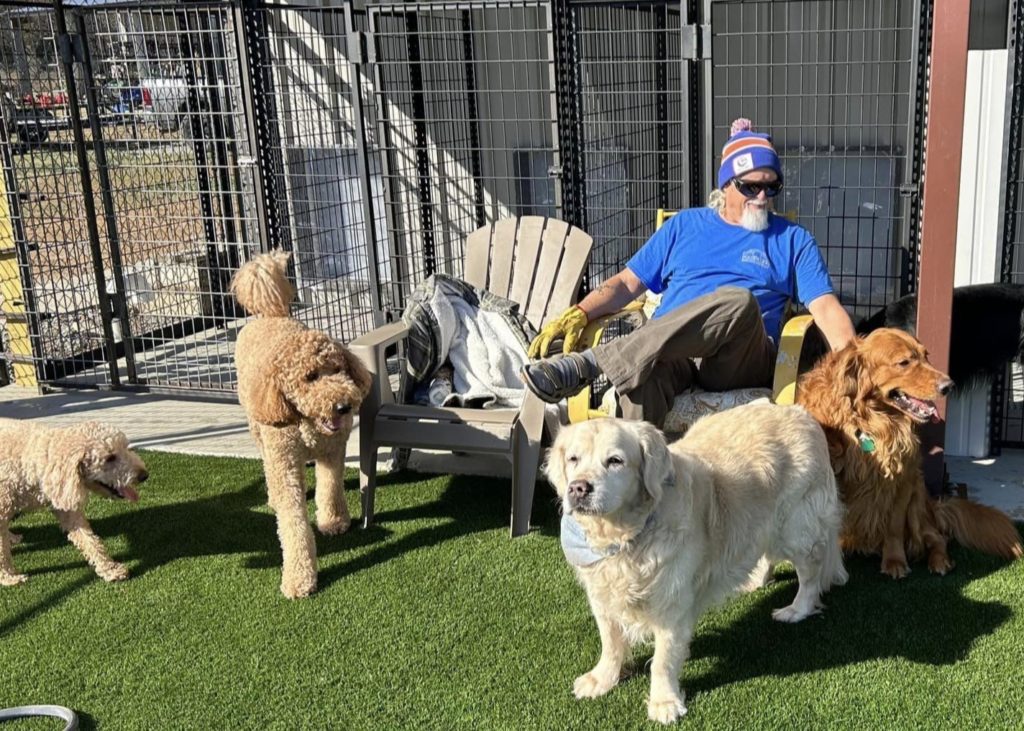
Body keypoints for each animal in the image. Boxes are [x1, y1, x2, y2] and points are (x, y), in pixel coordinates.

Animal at [0, 417, 149, 585]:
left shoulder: (65, 502)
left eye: (126, 447)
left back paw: (11, 537)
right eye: (110, 458)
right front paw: (9, 577)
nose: (144, 475)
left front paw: (110, 569)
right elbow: (1, 550)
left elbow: (89, 540)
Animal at [232, 247, 372, 593]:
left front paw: (334, 521)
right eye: (309, 377)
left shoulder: (333, 451)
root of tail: (270, 315)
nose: (343, 406)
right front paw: (299, 578)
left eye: (338, 368)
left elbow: (330, 487)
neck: (308, 425)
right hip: (258, 428)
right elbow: (293, 524)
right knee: (266, 463)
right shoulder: (285, 462)